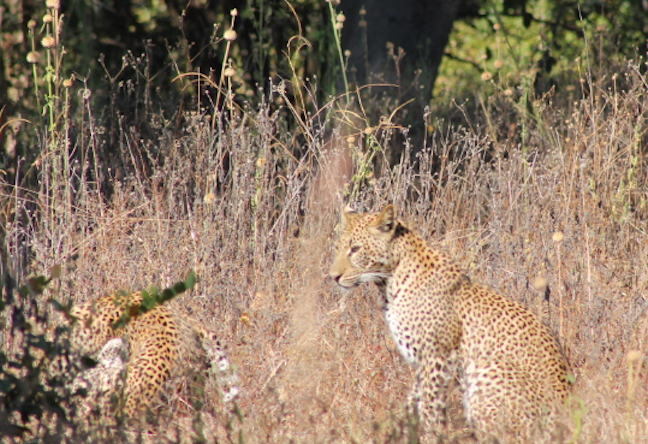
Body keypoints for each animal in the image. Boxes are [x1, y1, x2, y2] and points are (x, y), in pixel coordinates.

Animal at [332, 206, 568, 442]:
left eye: (355, 249)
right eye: (340, 247)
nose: (333, 276)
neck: (389, 283)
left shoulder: (437, 357)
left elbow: (429, 408)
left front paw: (429, 436)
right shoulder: (421, 363)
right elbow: (412, 404)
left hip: (486, 370)